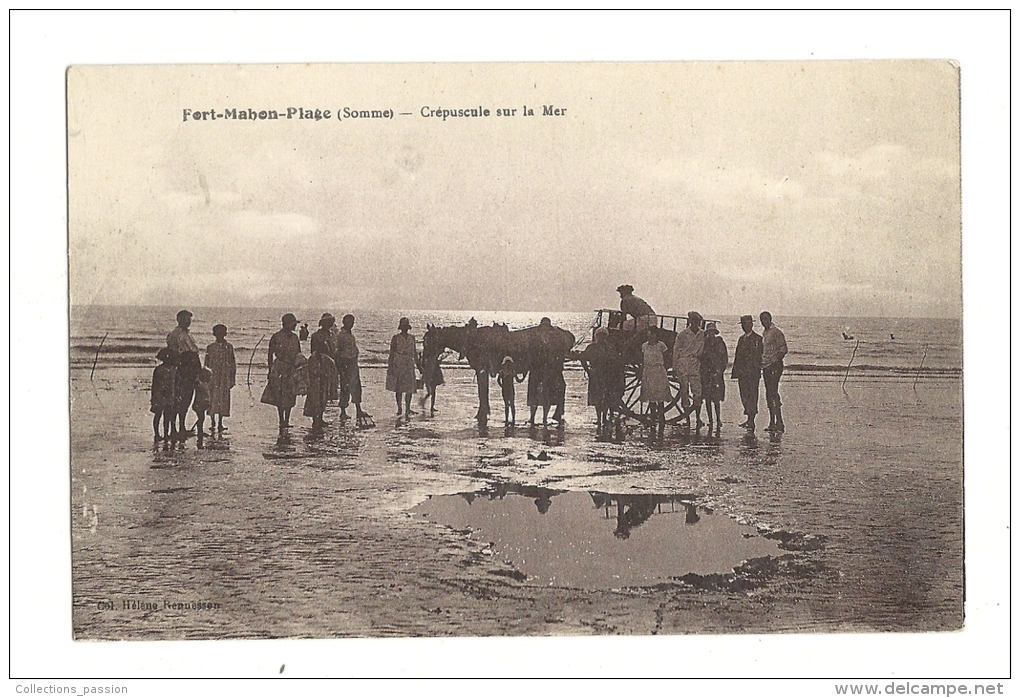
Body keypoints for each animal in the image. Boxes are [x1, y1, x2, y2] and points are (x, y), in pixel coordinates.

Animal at [422, 318, 579, 422]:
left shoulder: (481, 370)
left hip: (554, 367)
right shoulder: (482, 371)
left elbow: (482, 392)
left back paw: (556, 415)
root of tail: (567, 335)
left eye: (427, 340)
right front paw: (483, 413)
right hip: (555, 368)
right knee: (562, 386)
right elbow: (482, 392)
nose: (423, 359)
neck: (470, 339)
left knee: (561, 387)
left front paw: (482, 414)